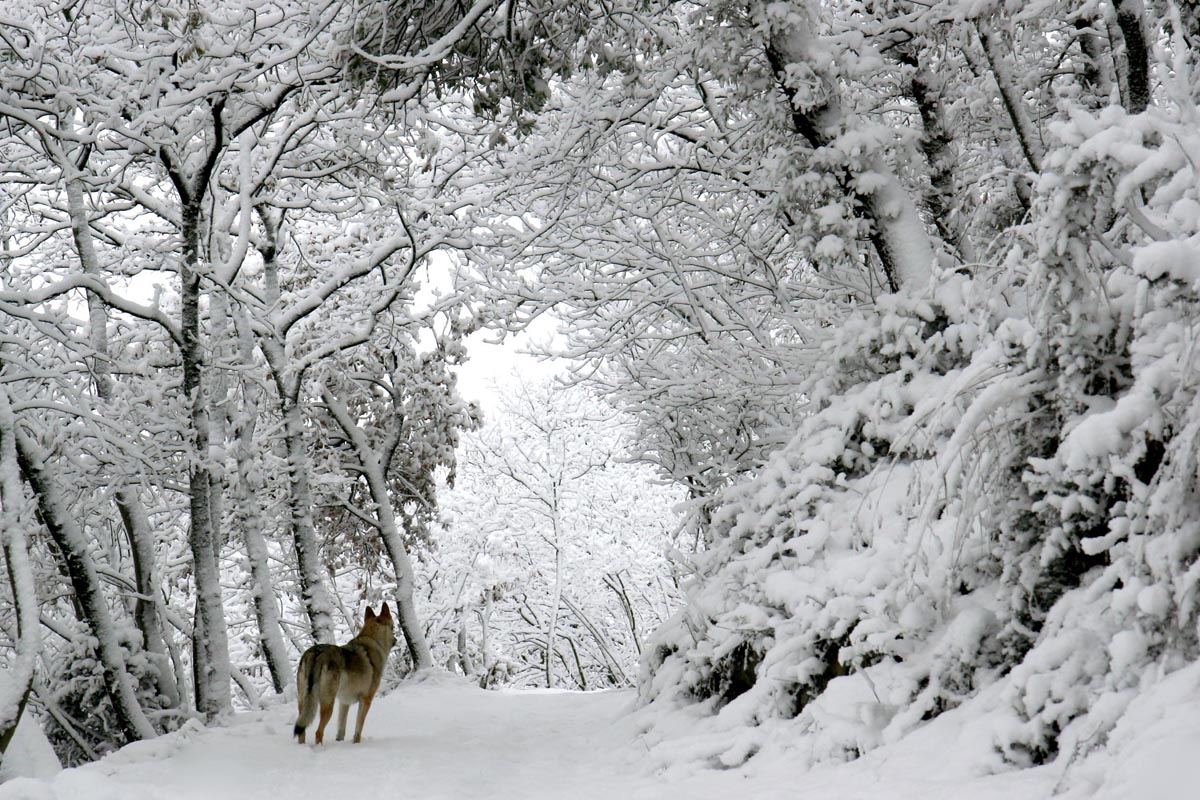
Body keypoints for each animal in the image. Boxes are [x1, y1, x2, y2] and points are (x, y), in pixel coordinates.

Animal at [293, 603, 397, 745]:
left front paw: (340, 742)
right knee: (318, 732)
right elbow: (358, 729)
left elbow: (341, 730)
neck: (373, 642)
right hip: (328, 705)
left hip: (304, 705)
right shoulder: (366, 700)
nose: (396, 640)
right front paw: (356, 744)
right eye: (394, 627)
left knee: (302, 731)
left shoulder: (344, 702)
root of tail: (316, 653)